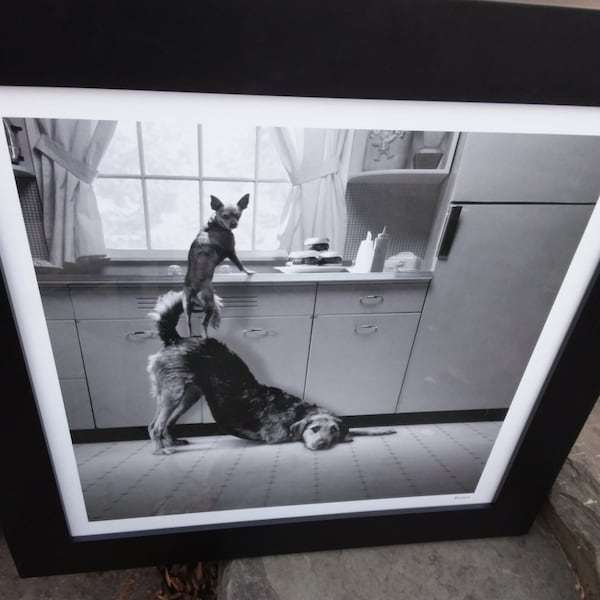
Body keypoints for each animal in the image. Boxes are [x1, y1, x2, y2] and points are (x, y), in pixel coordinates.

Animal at [180, 195, 251, 340]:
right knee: (203, 323)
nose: (233, 224)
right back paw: (205, 336)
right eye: (224, 216)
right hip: (209, 303)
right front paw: (249, 272)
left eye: (238, 215)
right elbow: (240, 264)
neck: (215, 225)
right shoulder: (231, 251)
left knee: (189, 326)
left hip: (186, 308)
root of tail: (191, 287)